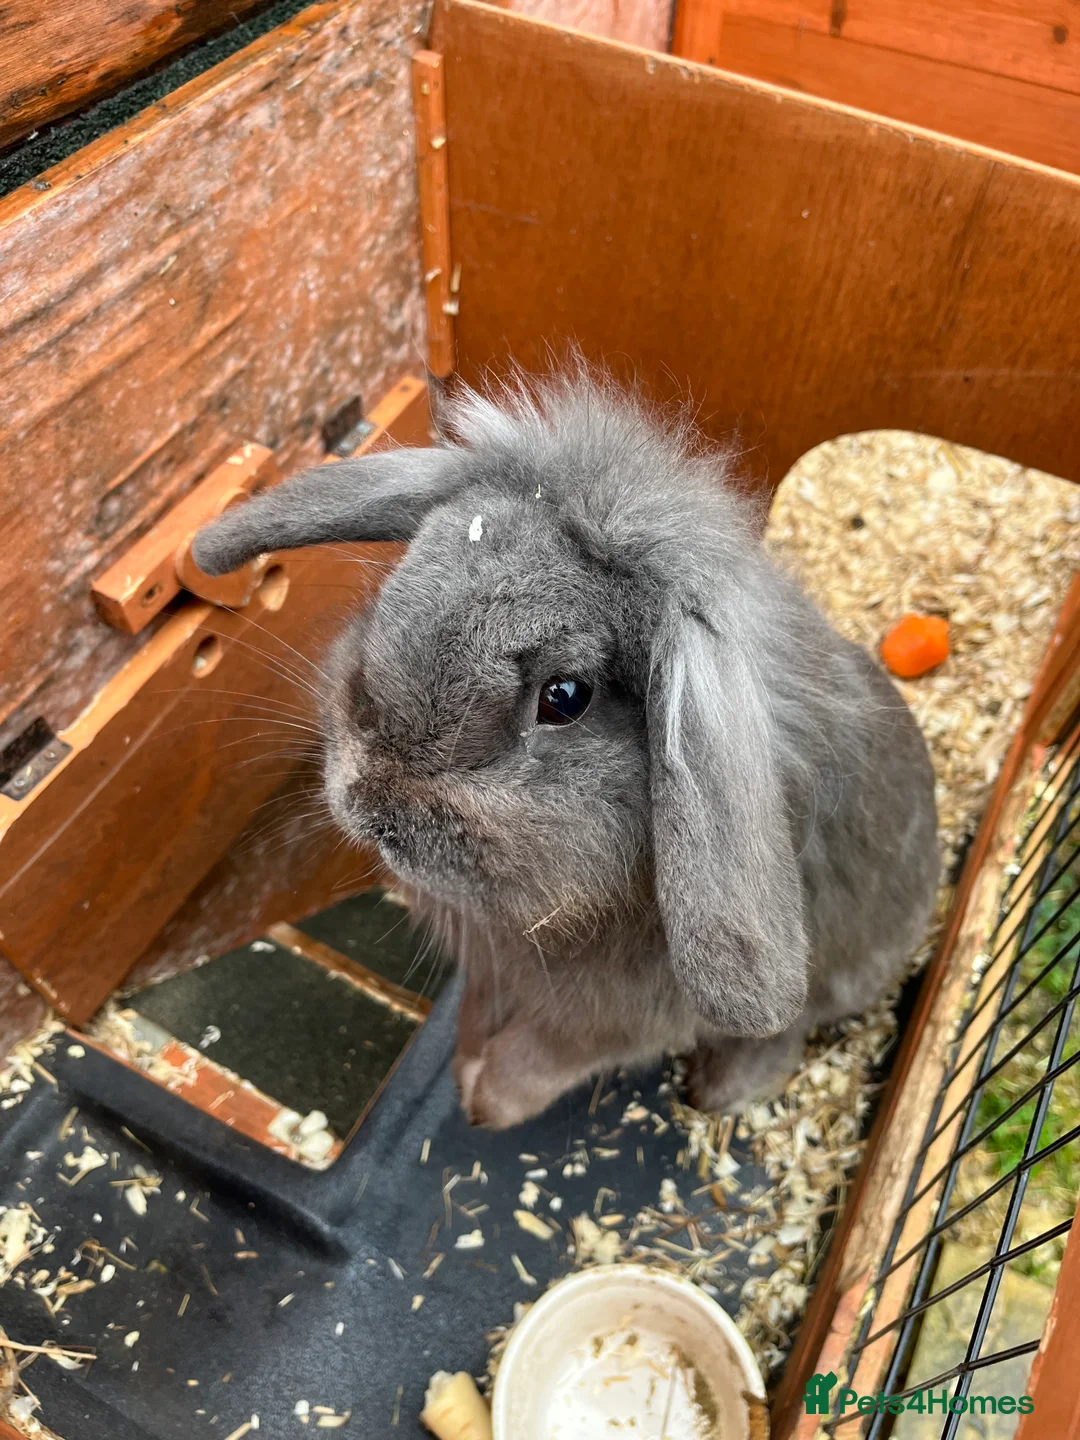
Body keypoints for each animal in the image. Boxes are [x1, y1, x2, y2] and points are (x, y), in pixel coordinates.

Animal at [192, 368, 939, 1129]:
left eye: (566, 697)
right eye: (391, 592)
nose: (369, 812)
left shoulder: (609, 1018)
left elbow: (542, 1056)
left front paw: (486, 1105)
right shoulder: (491, 969)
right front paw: (464, 1069)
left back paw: (725, 1092)